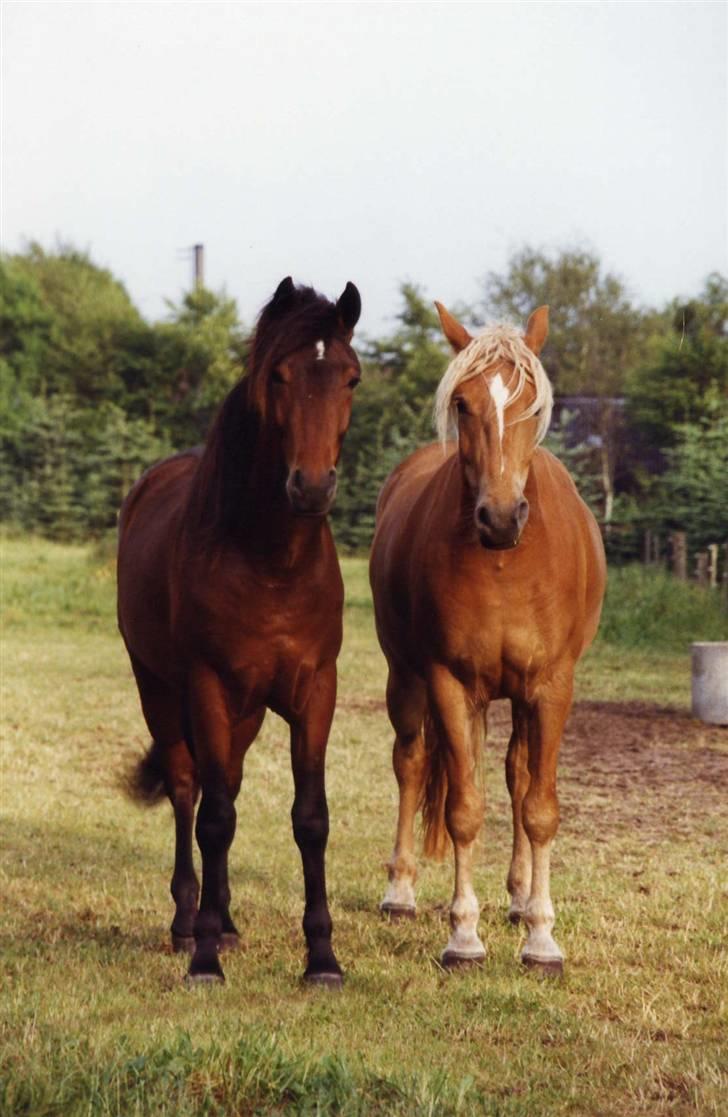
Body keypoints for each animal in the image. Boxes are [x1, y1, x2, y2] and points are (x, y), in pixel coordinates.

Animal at [117, 279, 364, 987]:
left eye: (351, 378)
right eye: (279, 376)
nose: (311, 486)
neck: (272, 565)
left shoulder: (315, 693)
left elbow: (310, 819)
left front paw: (322, 959)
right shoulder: (207, 689)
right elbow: (215, 818)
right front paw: (202, 959)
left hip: (248, 711)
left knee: (221, 782)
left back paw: (223, 922)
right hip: (161, 691)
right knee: (187, 790)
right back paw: (188, 925)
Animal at [372, 301, 607, 974]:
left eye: (534, 404)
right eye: (462, 403)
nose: (501, 518)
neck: (506, 564)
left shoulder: (551, 688)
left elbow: (539, 808)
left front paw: (542, 937)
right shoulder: (451, 685)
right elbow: (464, 810)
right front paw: (463, 935)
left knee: (519, 777)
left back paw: (521, 900)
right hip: (407, 679)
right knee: (411, 762)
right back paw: (401, 891)